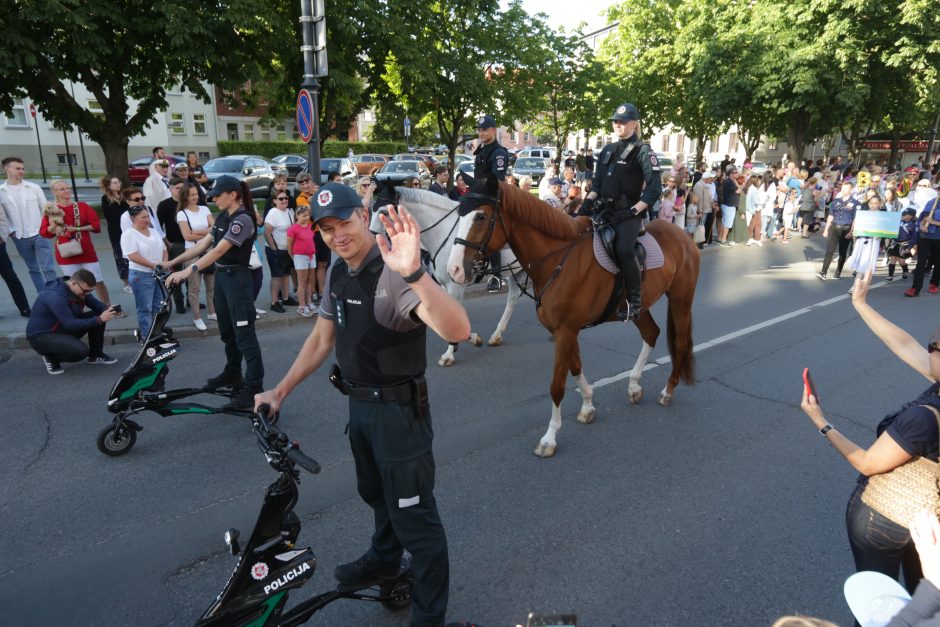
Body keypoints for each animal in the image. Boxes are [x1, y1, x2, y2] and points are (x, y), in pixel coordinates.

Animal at [370, 185, 528, 368]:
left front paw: (449, 354)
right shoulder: (444, 285)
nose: (373, 237)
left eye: (384, 211)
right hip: (516, 271)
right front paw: (470, 339)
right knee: (513, 298)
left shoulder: (455, 285)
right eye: (372, 208)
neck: (443, 234)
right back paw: (496, 335)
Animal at [446, 179, 696, 458]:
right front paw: (587, 406)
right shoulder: (566, 331)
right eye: (460, 214)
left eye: (481, 216)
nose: (454, 269)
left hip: (681, 301)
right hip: (639, 309)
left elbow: (557, 385)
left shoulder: (565, 331)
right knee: (651, 334)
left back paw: (668, 390)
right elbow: (575, 369)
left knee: (681, 344)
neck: (558, 259)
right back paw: (633, 385)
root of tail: (683, 235)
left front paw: (549, 438)